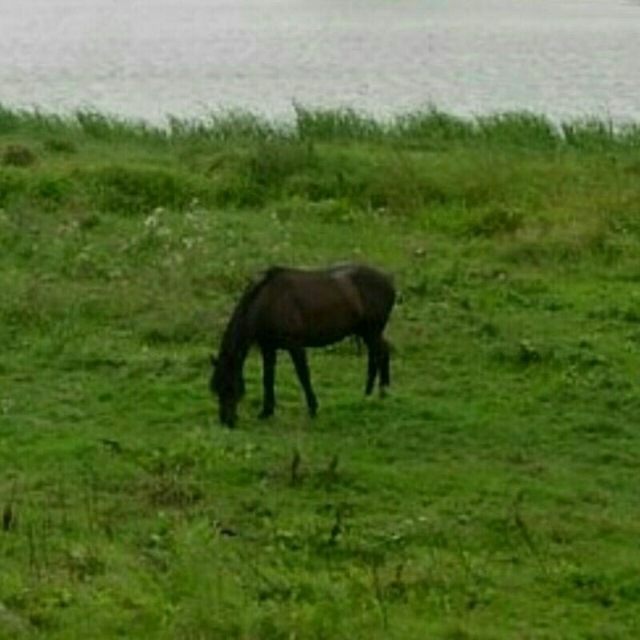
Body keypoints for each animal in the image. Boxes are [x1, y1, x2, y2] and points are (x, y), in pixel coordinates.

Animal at [210, 262, 396, 428]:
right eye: (216, 388)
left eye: (230, 386)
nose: (227, 421)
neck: (269, 301)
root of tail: (388, 281)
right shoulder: (268, 348)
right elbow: (267, 378)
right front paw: (266, 412)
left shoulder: (295, 346)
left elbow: (303, 375)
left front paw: (313, 408)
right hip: (367, 333)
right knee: (378, 354)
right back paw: (372, 393)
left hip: (372, 332)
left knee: (380, 354)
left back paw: (380, 391)